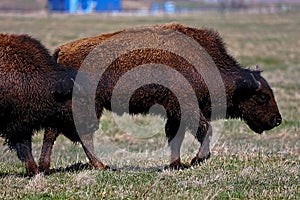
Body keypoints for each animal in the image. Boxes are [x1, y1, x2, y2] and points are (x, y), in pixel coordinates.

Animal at [39, 22, 282, 170]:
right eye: (261, 97)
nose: (277, 120)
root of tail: (62, 51)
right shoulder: (186, 108)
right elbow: (205, 130)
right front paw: (195, 160)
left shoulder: (175, 114)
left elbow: (175, 137)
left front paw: (176, 164)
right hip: (88, 106)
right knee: (79, 134)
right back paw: (100, 166)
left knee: (55, 133)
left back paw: (46, 167)